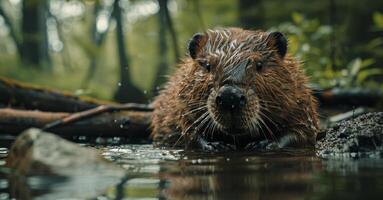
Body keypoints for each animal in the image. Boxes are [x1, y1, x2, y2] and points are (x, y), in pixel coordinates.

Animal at [152, 27, 320, 151]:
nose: (230, 97)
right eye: (208, 66)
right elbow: (187, 129)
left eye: (259, 64)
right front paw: (215, 145)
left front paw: (264, 144)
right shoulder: (182, 102)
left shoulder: (300, 99)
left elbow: (303, 132)